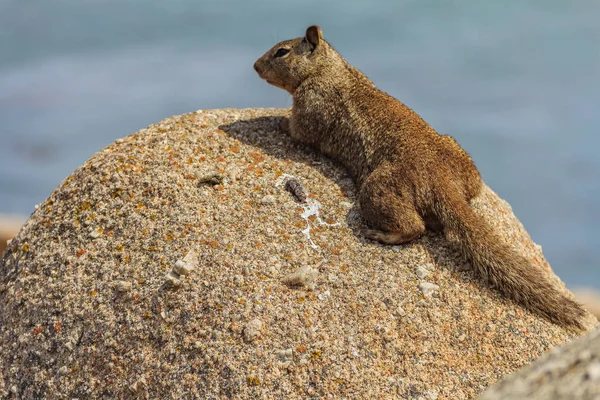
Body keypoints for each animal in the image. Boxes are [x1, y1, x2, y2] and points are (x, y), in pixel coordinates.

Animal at [253, 25, 584, 332]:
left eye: (281, 52)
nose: (255, 66)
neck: (331, 68)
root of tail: (443, 181)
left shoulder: (311, 105)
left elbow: (298, 129)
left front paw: (278, 121)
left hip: (378, 188)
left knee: (414, 227)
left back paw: (381, 234)